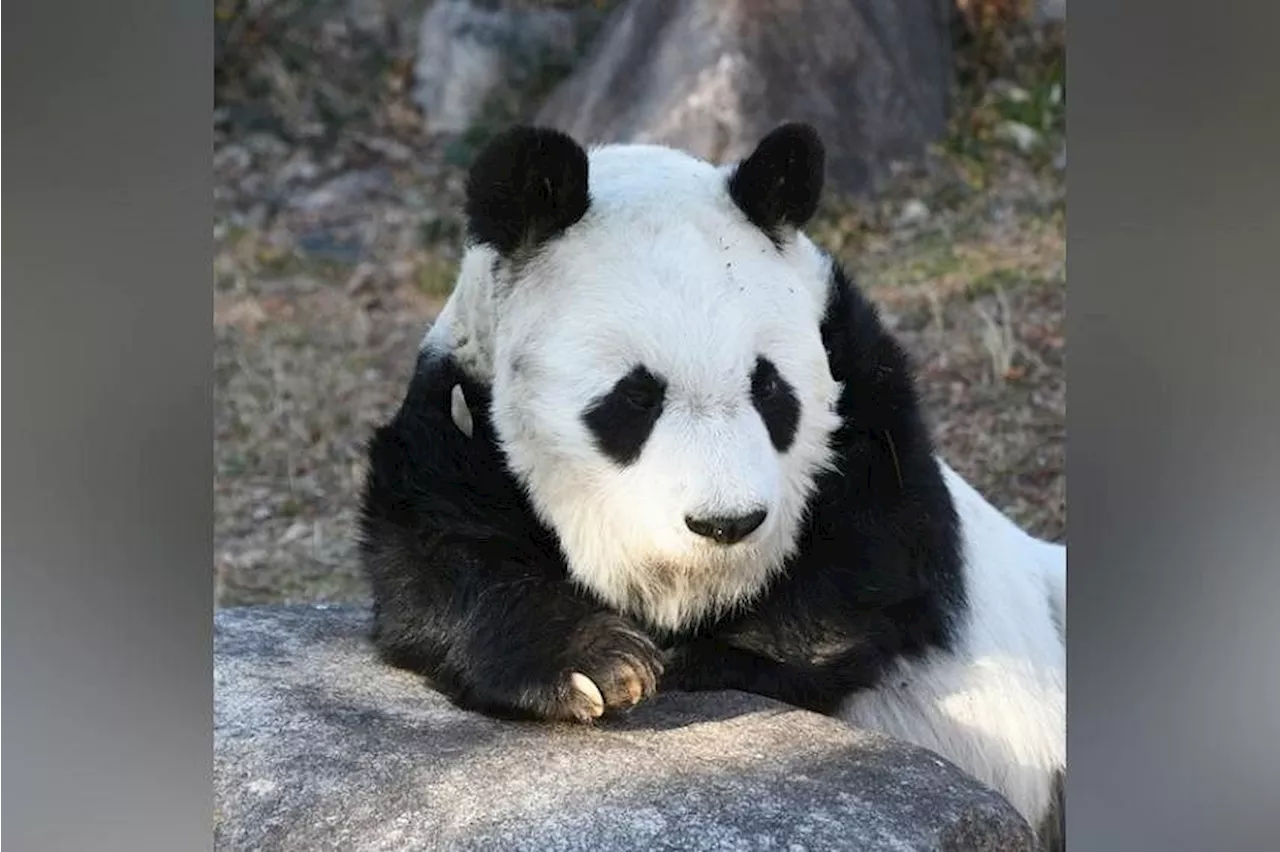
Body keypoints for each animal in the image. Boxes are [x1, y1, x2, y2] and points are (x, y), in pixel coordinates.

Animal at [355, 122, 1064, 844]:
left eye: (769, 388)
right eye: (635, 398)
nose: (727, 524)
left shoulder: (864, 389)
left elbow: (875, 553)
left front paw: (709, 659)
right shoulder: (458, 418)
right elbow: (438, 561)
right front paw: (599, 665)